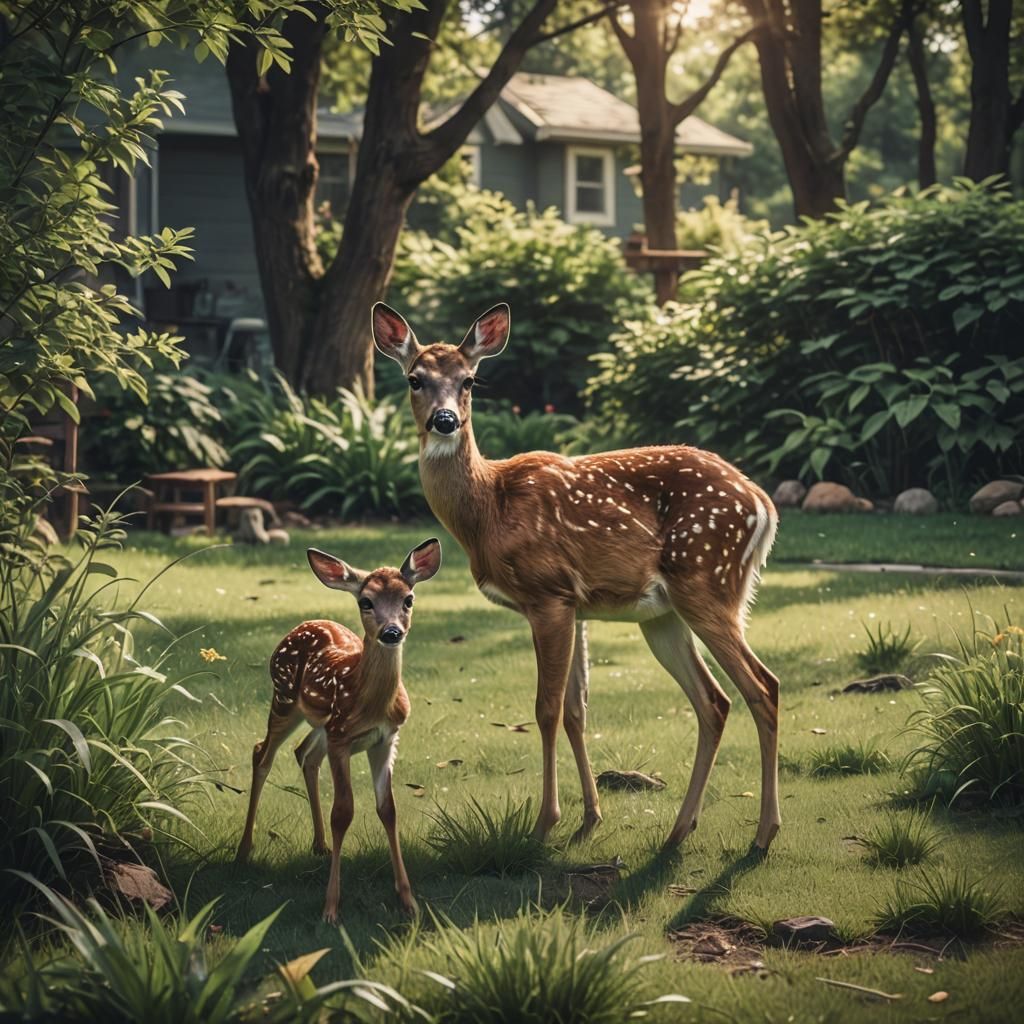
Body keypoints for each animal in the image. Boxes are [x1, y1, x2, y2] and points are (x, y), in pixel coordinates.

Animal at [235, 538, 442, 922]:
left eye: (408, 599)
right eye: (366, 601)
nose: (392, 632)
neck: (368, 703)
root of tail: (303, 623)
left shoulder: (385, 739)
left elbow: (388, 810)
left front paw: (408, 902)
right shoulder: (341, 738)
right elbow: (343, 813)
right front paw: (330, 908)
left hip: (319, 723)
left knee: (304, 753)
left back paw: (320, 844)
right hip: (284, 698)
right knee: (262, 753)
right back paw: (244, 850)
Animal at [371, 303, 781, 857]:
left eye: (469, 379)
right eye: (415, 379)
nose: (445, 419)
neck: (488, 510)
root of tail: (764, 505)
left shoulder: (548, 594)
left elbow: (545, 709)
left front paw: (545, 822)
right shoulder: (577, 605)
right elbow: (576, 709)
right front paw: (590, 819)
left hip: (708, 581)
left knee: (763, 687)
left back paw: (763, 834)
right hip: (663, 614)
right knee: (714, 701)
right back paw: (679, 830)